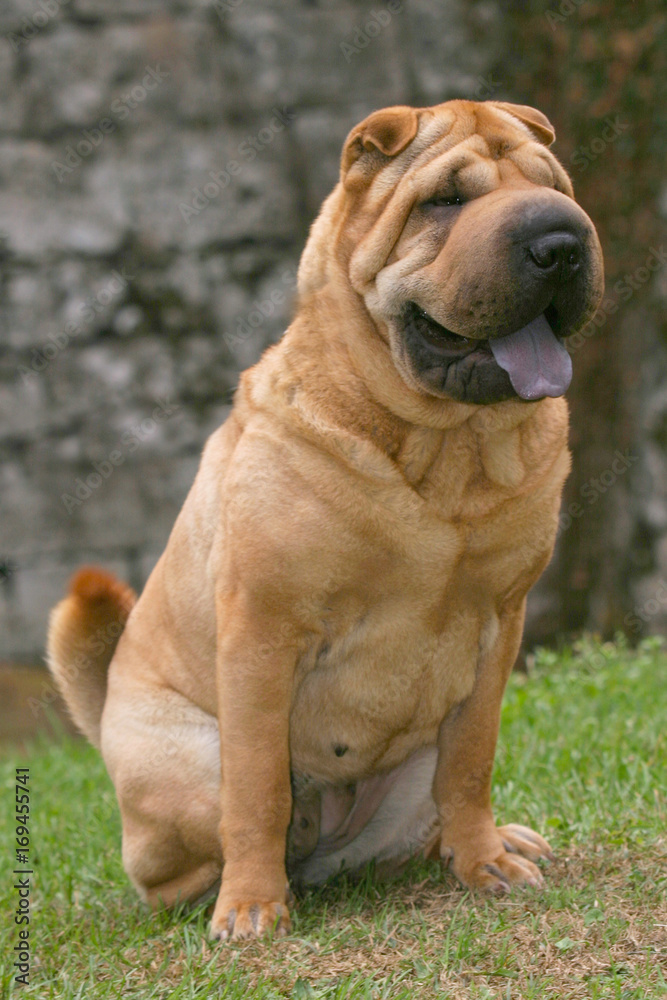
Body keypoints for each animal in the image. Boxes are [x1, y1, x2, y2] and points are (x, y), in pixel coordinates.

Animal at [49, 99, 604, 936]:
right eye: (445, 200)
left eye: (555, 188)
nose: (561, 241)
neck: (443, 451)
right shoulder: (263, 629)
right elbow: (256, 790)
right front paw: (250, 908)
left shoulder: (498, 625)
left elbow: (469, 763)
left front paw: (484, 861)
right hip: (186, 763)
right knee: (188, 856)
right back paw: (243, 886)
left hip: (407, 770)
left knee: (426, 809)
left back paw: (483, 842)